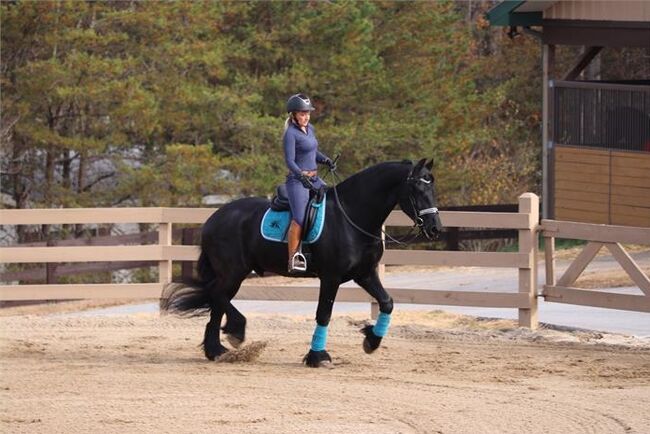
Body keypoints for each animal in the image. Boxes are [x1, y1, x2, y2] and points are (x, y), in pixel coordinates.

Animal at [162, 159, 442, 366]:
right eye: (417, 189)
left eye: (432, 188)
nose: (435, 228)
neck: (351, 216)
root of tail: (214, 218)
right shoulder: (331, 277)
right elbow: (324, 314)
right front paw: (318, 357)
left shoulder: (365, 274)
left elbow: (387, 303)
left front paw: (371, 340)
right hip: (233, 272)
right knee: (217, 295)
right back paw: (228, 338)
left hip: (232, 273)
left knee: (216, 299)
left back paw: (221, 345)